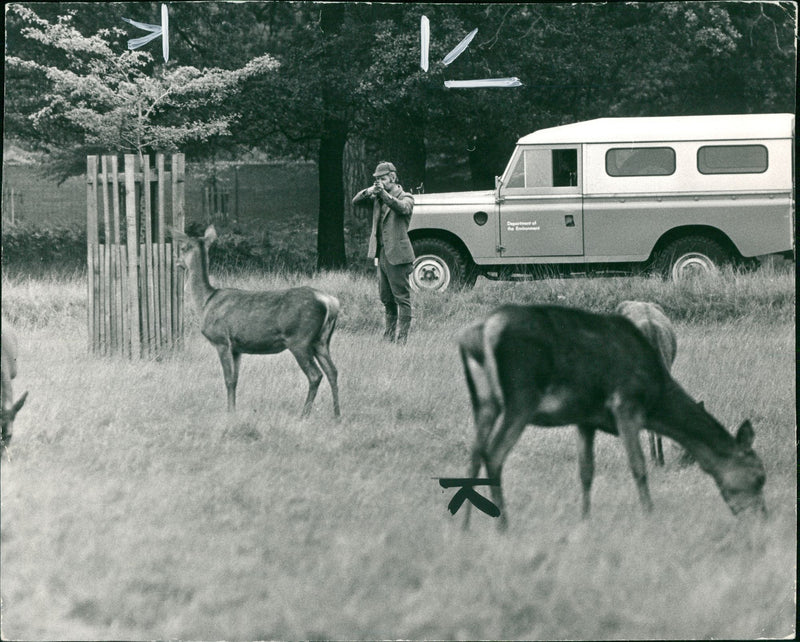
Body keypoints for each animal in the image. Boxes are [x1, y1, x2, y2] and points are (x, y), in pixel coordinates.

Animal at [173, 225, 340, 416]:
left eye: (183, 247)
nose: (176, 261)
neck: (205, 302)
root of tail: (331, 303)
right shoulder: (237, 348)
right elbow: (235, 380)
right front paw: (233, 410)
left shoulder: (222, 340)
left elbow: (228, 379)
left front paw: (229, 413)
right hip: (321, 341)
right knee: (333, 371)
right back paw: (337, 414)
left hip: (300, 339)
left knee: (315, 375)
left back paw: (304, 414)